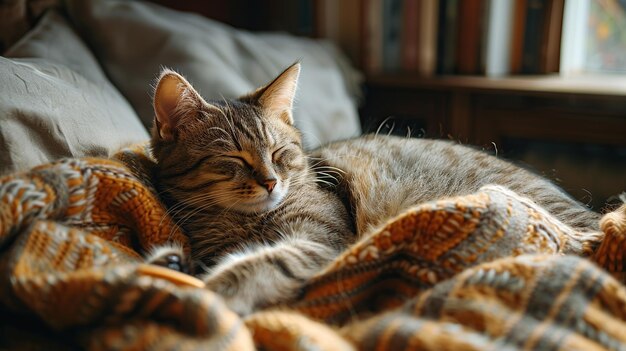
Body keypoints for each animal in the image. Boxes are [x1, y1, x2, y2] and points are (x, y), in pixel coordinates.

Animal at [147, 62, 600, 316]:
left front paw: (213, 293)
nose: (272, 181)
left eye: (279, 153)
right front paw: (174, 266)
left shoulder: (320, 238)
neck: (243, 223)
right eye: (235, 159)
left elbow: (261, 263)